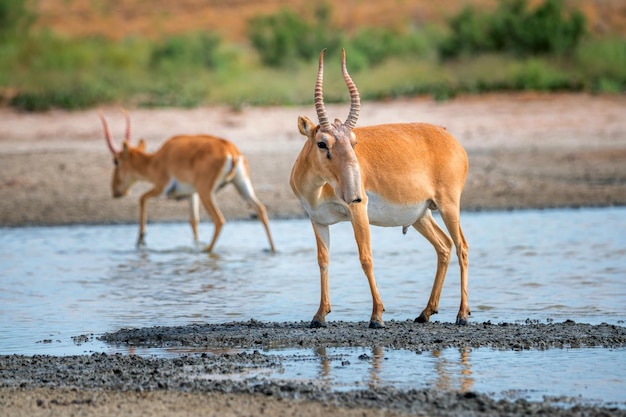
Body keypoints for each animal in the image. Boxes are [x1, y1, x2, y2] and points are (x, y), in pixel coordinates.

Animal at [98, 109, 274, 252]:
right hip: (241, 186)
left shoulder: (161, 187)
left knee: (219, 220)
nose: (115, 191)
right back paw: (272, 249)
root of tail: (229, 148)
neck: (156, 161)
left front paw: (141, 239)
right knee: (261, 210)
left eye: (116, 161)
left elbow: (141, 198)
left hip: (206, 192)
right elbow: (193, 221)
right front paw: (195, 243)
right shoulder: (191, 194)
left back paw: (206, 251)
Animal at [288, 49, 468, 328]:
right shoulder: (317, 220)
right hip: (422, 215)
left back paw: (462, 315)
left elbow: (366, 257)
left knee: (462, 247)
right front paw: (319, 316)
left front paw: (377, 316)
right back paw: (425, 313)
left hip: (449, 206)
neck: (317, 190)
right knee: (445, 246)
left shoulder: (358, 213)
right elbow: (323, 261)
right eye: (322, 143)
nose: (354, 194)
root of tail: (450, 138)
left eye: (353, 141)